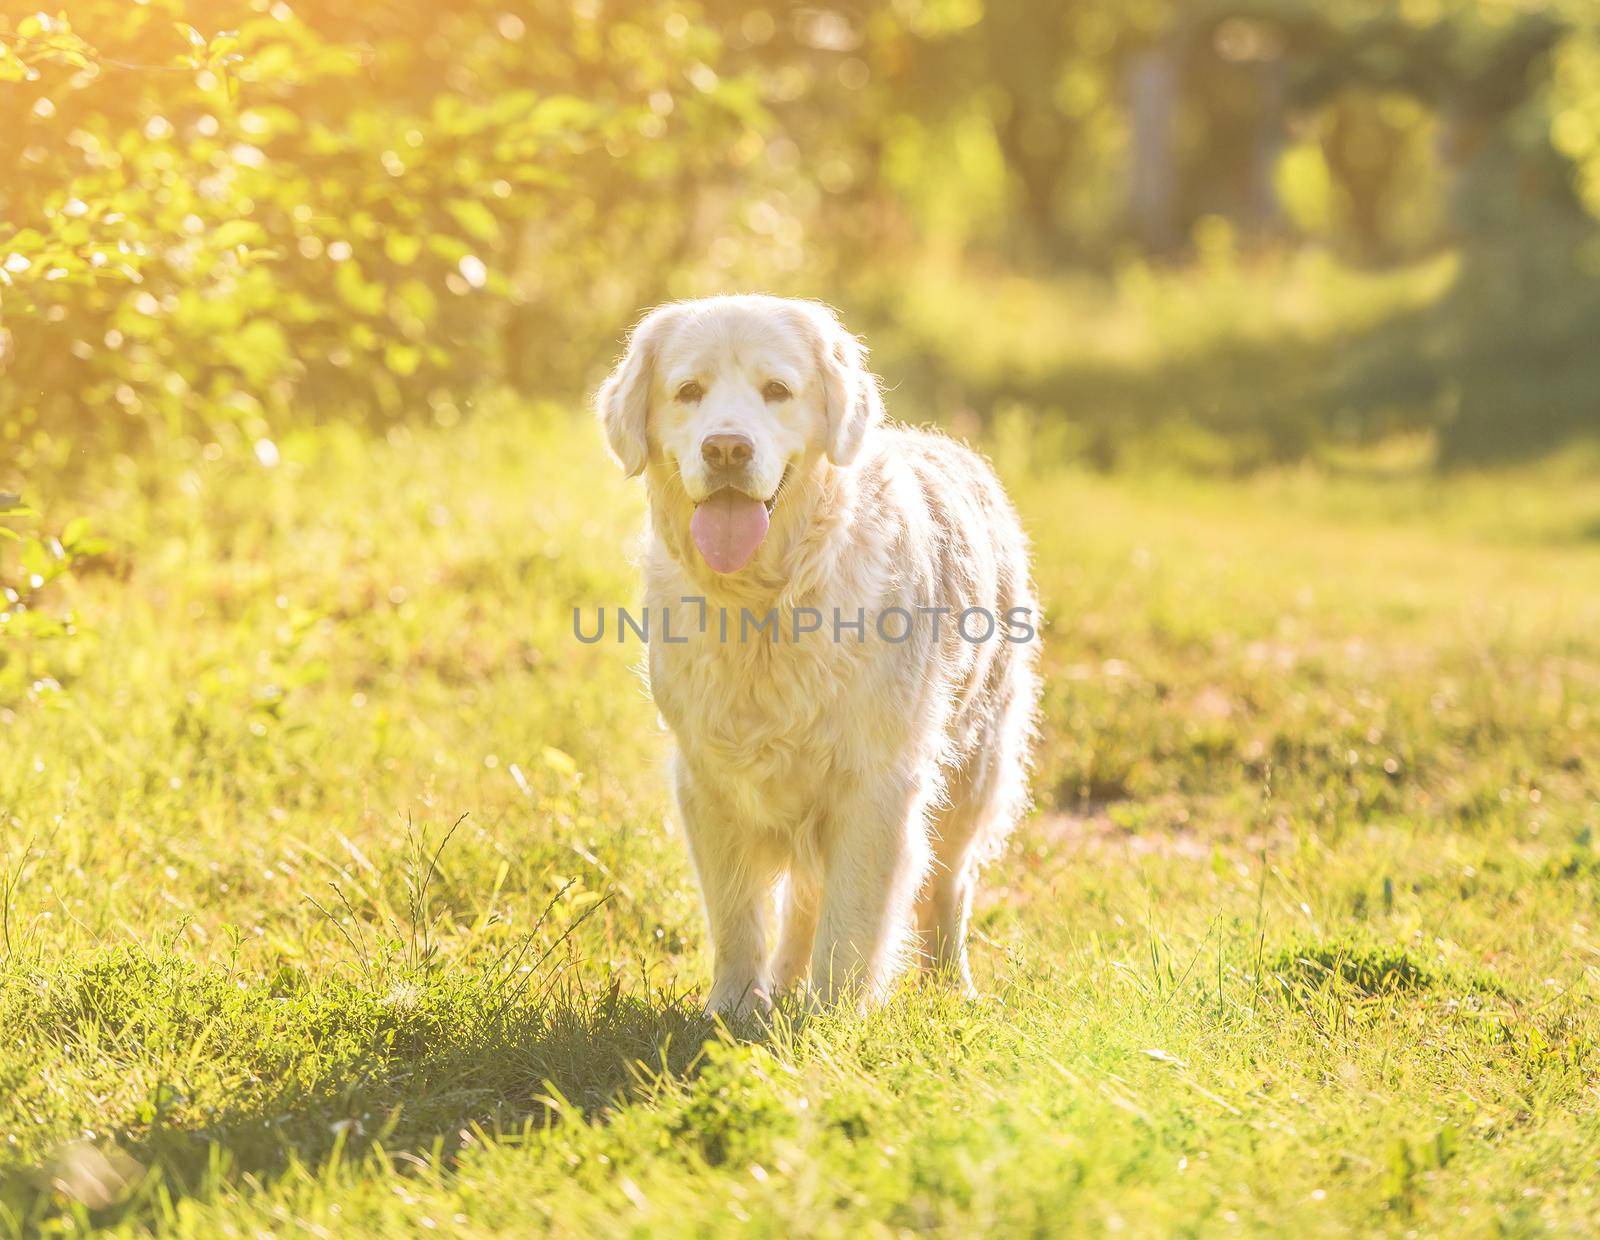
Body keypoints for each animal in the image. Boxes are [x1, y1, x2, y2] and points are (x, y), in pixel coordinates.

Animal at [598, 297, 1036, 1017]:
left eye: (777, 390)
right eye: (689, 392)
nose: (726, 448)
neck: (764, 603)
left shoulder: (877, 785)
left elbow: (853, 920)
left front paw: (832, 1021)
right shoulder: (708, 782)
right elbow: (737, 913)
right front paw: (733, 1009)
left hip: (975, 770)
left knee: (948, 891)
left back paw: (952, 987)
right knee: (803, 903)